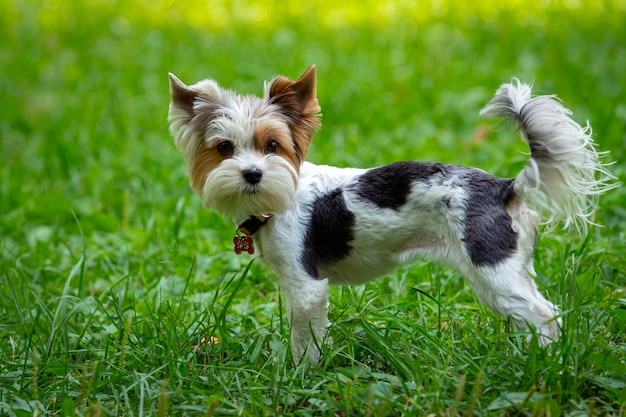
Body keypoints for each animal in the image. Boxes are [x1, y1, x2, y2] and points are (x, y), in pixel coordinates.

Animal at [166, 65, 616, 360]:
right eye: (224, 148)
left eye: (272, 145)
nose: (252, 173)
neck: (276, 202)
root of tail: (506, 187)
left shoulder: (307, 285)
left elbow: (304, 340)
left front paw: (299, 375)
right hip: (500, 273)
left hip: (493, 268)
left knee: (545, 315)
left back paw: (548, 365)